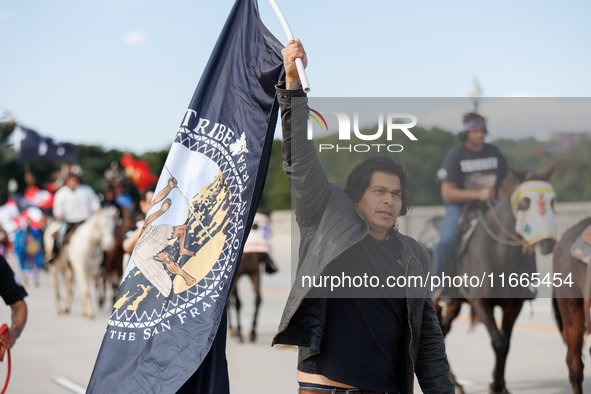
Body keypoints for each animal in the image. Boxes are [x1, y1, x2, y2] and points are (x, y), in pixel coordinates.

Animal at [430, 167, 560, 394]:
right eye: (525, 202)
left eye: (552, 201)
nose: (547, 243)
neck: (501, 254)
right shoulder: (481, 303)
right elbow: (498, 342)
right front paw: (496, 386)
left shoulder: (513, 305)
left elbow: (506, 344)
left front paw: (500, 385)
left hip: (454, 304)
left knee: (444, 331)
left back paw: (455, 382)